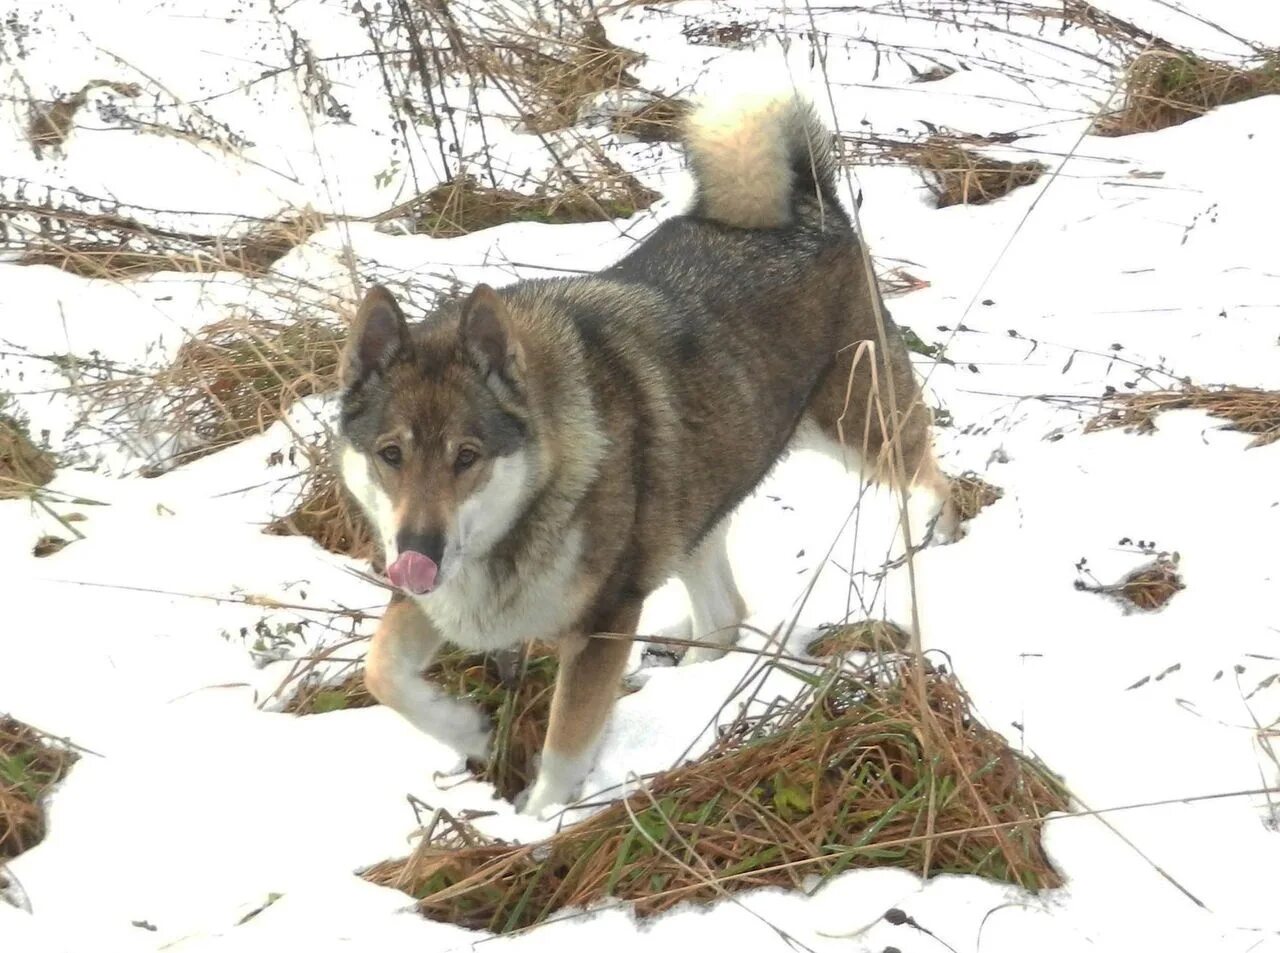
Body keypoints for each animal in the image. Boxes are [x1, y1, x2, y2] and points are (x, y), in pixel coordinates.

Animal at [335, 90, 957, 818]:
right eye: (390, 453)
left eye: (468, 455)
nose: (418, 548)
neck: (531, 510)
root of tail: (809, 206)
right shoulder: (439, 596)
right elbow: (381, 672)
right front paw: (464, 728)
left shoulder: (606, 616)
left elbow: (566, 743)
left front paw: (540, 824)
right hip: (691, 506)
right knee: (723, 619)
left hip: (862, 428)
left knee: (933, 477)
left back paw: (936, 535)